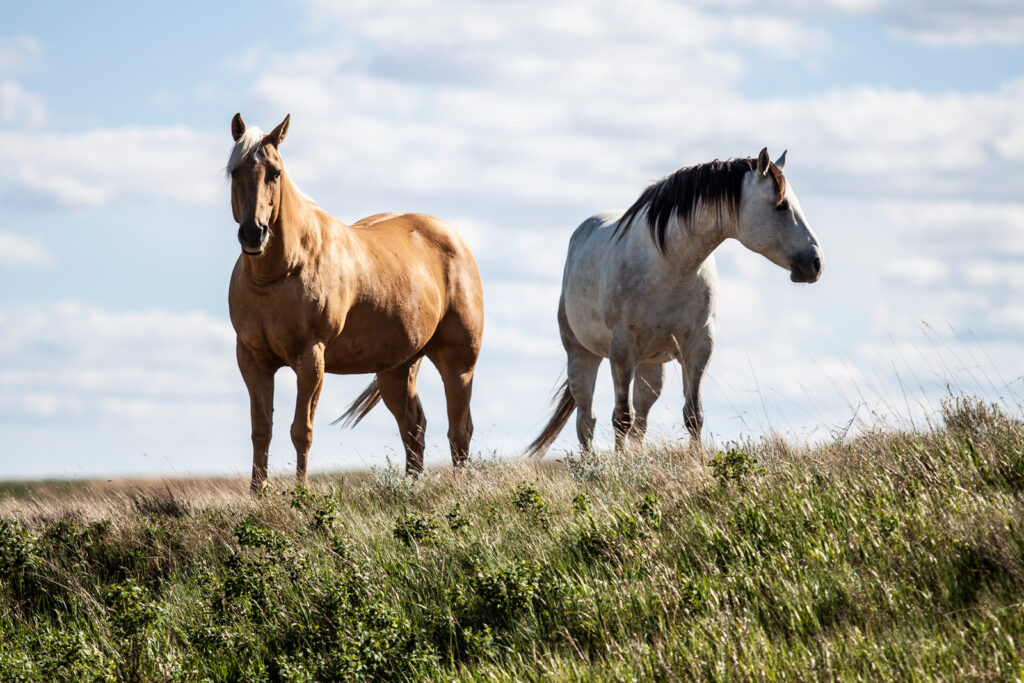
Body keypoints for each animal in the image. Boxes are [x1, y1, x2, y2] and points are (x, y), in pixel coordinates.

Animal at [226, 113, 484, 493]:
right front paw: (257, 495)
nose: (253, 233)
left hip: (458, 361)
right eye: (234, 171)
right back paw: (410, 488)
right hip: (396, 369)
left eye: (275, 172)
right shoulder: (252, 360)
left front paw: (300, 492)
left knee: (460, 429)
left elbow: (301, 431)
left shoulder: (311, 359)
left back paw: (460, 488)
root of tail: (454, 239)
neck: (278, 274)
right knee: (414, 428)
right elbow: (262, 431)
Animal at [527, 148, 823, 457]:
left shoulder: (699, 346)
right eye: (781, 206)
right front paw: (621, 465)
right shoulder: (622, 350)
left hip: (650, 366)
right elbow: (621, 417)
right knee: (587, 420)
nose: (815, 263)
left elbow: (693, 414)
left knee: (639, 421)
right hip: (583, 355)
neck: (669, 267)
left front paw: (696, 461)